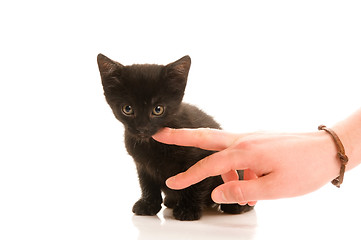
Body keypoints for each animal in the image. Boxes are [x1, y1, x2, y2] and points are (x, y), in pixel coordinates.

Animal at [97, 53, 252, 220]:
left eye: (158, 109)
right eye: (127, 109)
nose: (142, 128)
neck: (151, 143)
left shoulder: (203, 157)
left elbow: (195, 183)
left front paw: (188, 210)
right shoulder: (142, 164)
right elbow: (147, 183)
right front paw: (148, 205)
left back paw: (237, 206)